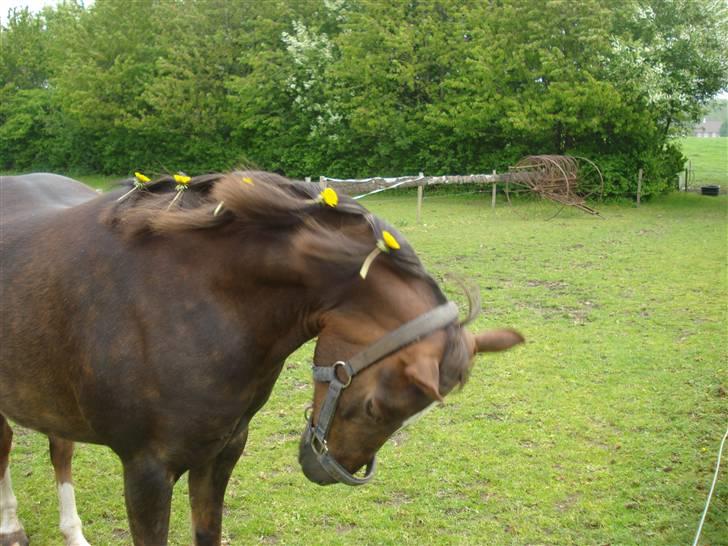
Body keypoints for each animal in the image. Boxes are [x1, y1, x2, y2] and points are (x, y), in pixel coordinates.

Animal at [1, 172, 524, 544]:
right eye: (377, 407)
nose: (324, 471)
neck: (192, 294)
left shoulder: (221, 452)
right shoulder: (146, 471)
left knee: (59, 447)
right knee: (9, 444)